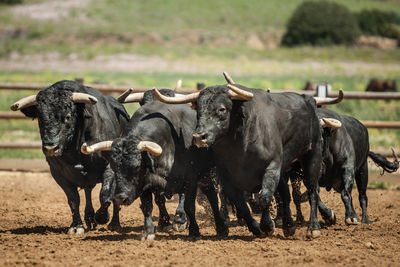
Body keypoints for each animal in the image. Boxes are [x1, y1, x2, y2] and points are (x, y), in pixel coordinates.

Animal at [10, 80, 130, 236]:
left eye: (67, 116)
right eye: (40, 118)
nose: (50, 148)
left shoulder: (110, 166)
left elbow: (105, 195)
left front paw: (102, 217)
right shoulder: (57, 173)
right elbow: (73, 199)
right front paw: (76, 226)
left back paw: (114, 223)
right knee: (87, 190)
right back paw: (89, 217)